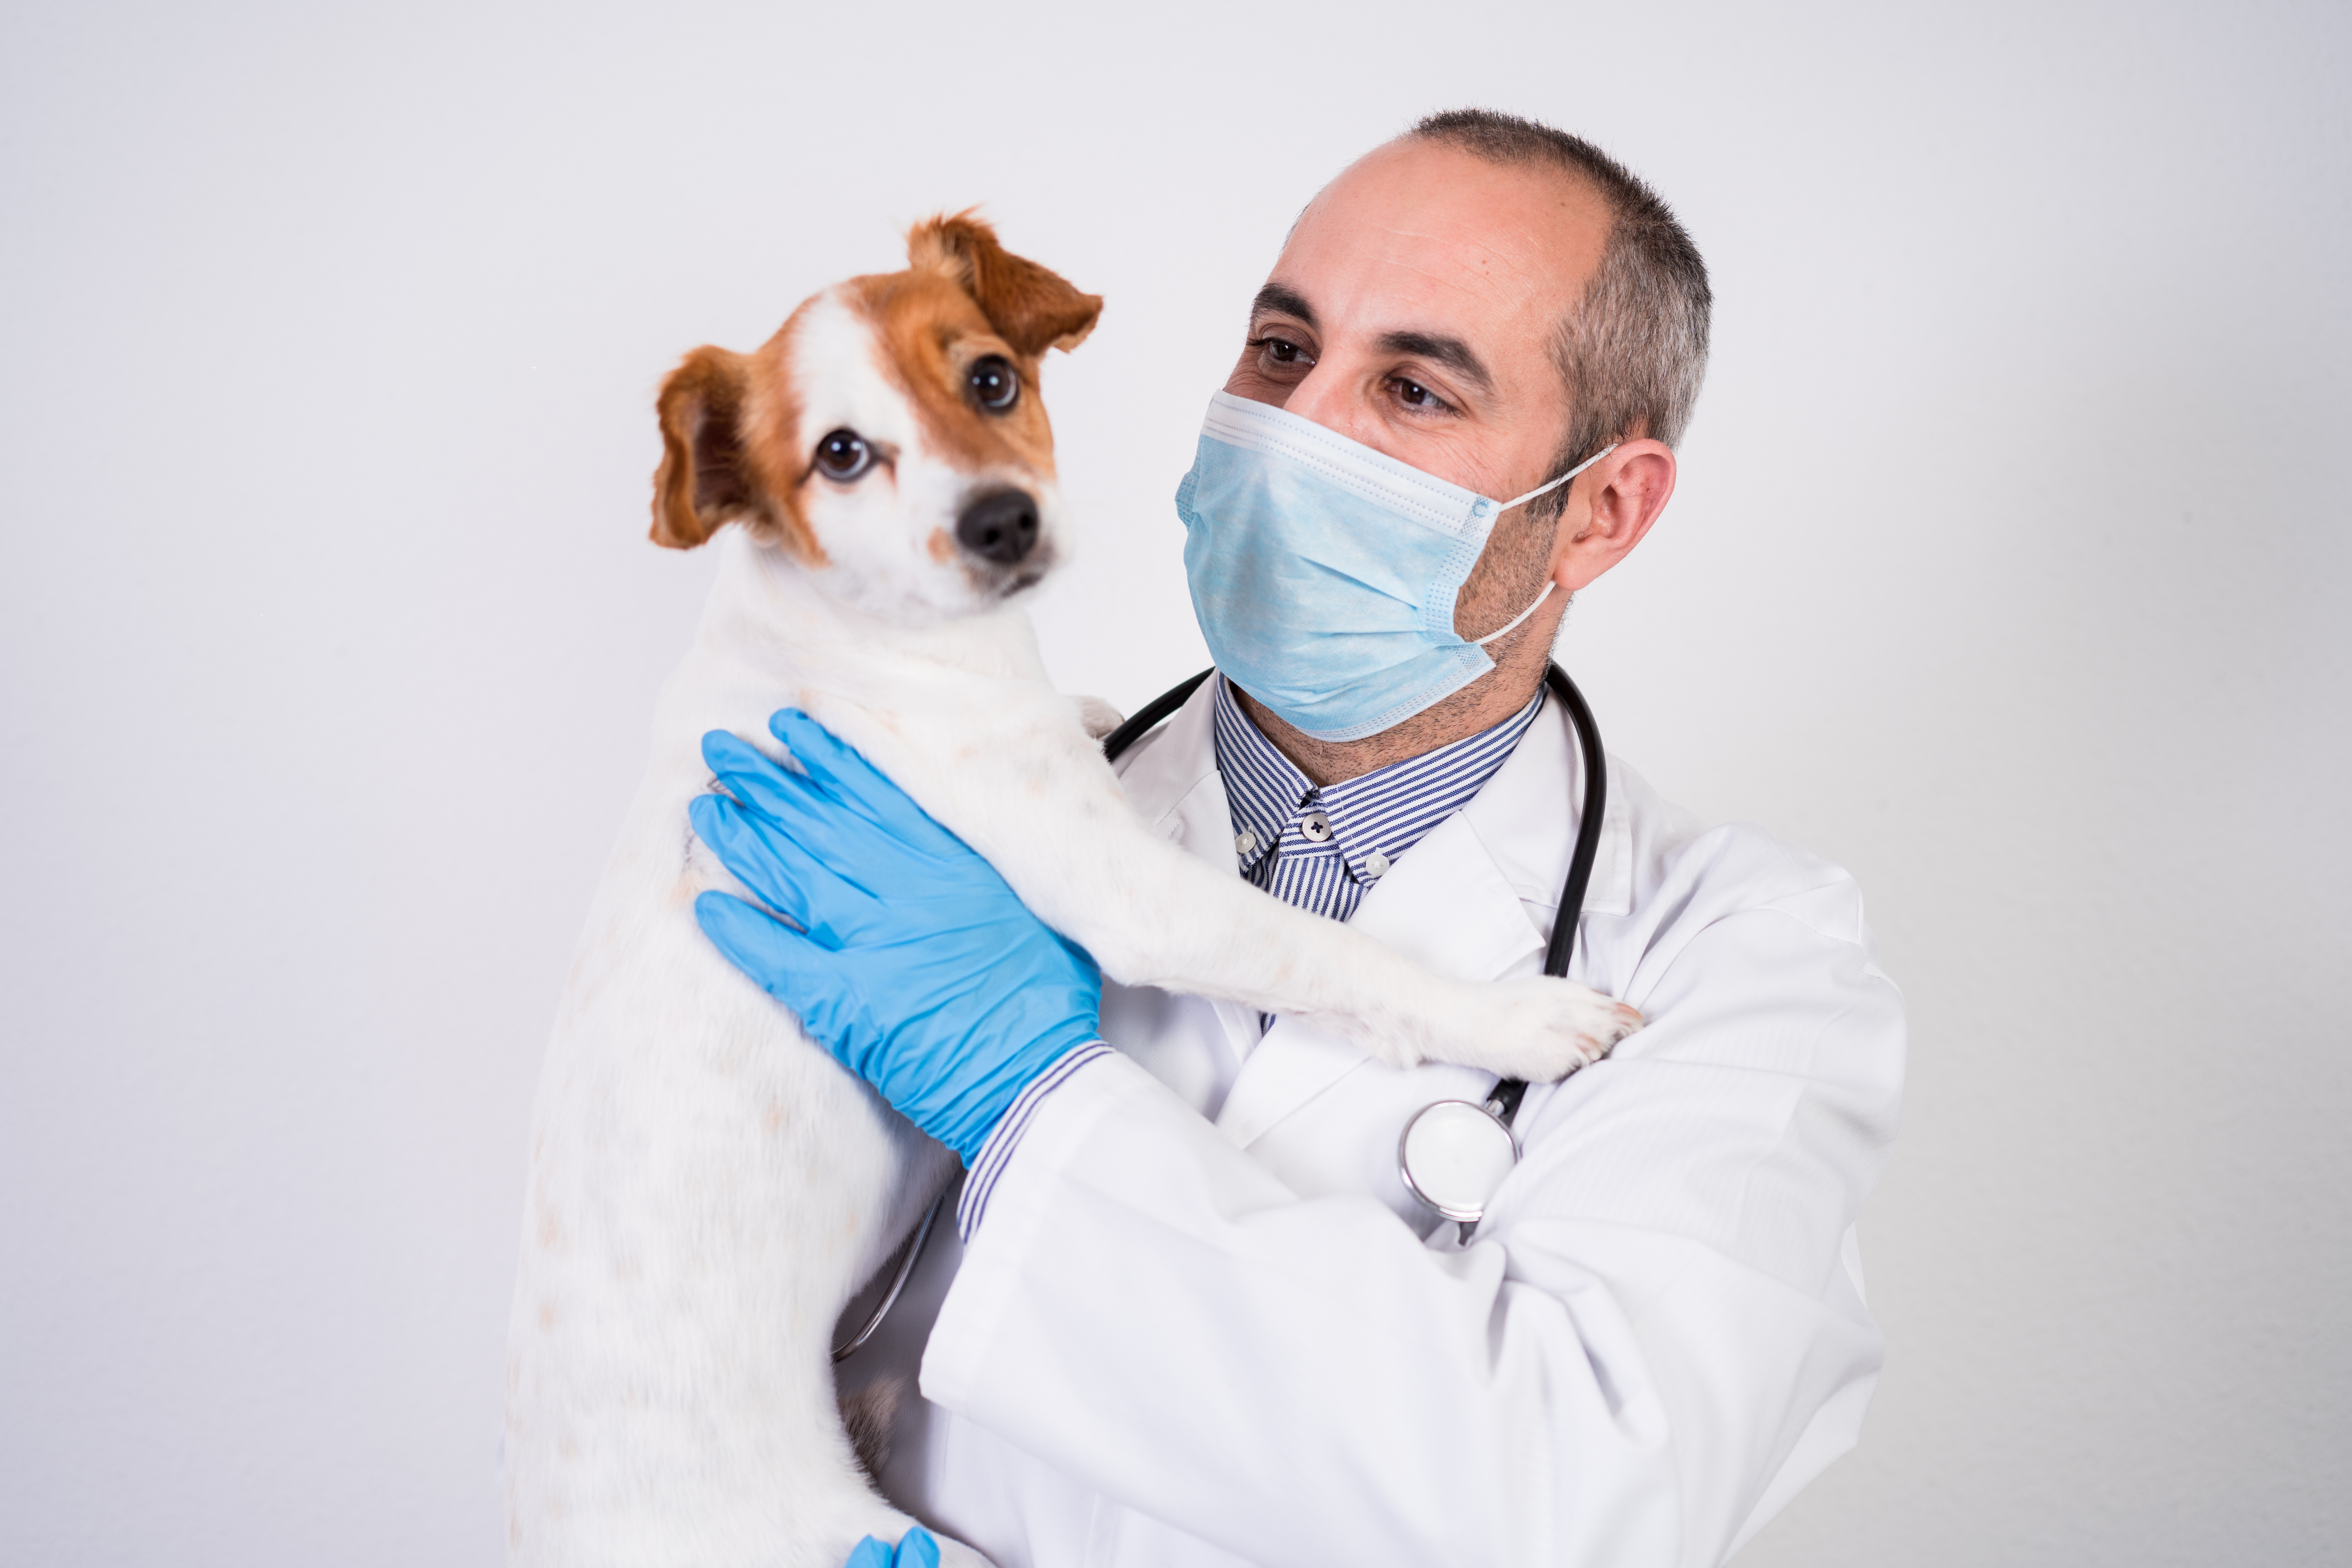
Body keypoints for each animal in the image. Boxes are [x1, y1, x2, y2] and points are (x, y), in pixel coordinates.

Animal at [506, 217, 1637, 1568]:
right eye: (841, 454)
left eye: (991, 377)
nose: (1001, 521)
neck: (862, 632)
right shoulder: (1125, 888)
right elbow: (1330, 957)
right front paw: (1520, 1017)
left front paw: (1098, 709)